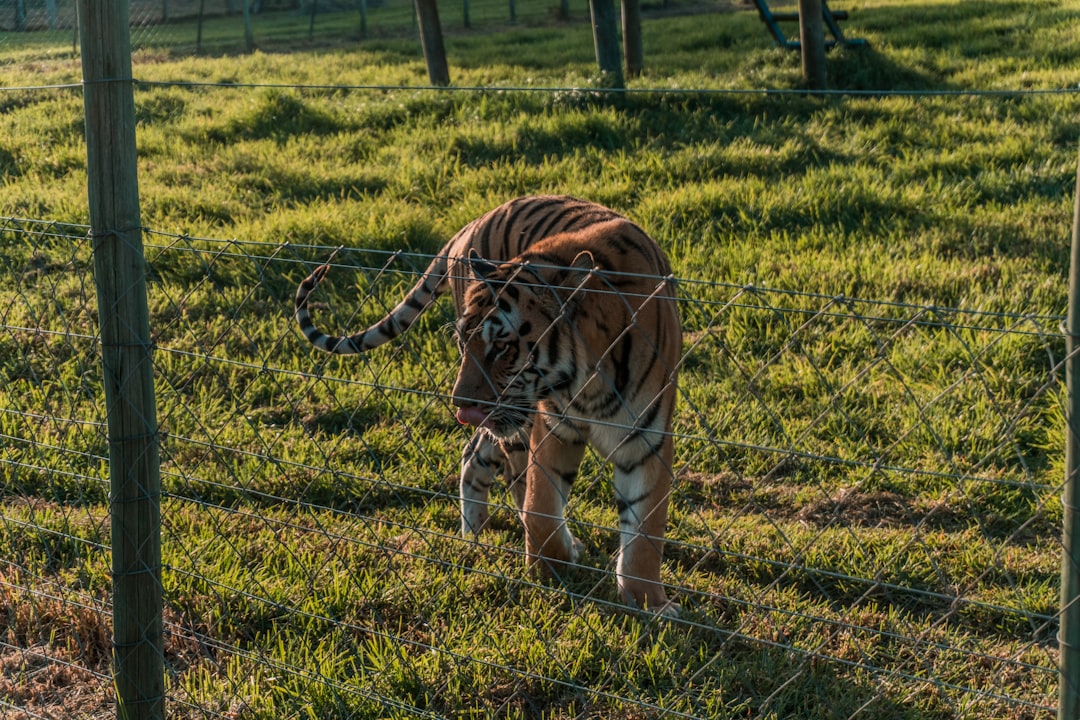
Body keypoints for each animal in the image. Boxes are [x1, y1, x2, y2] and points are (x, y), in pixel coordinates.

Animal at [293, 194, 682, 617]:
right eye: (463, 343)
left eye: (502, 346)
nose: (461, 404)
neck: (589, 383)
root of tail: (471, 224)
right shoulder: (553, 426)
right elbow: (541, 505)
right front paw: (551, 570)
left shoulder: (645, 441)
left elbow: (645, 531)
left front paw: (650, 604)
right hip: (518, 419)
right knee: (505, 469)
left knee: (478, 453)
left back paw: (473, 533)